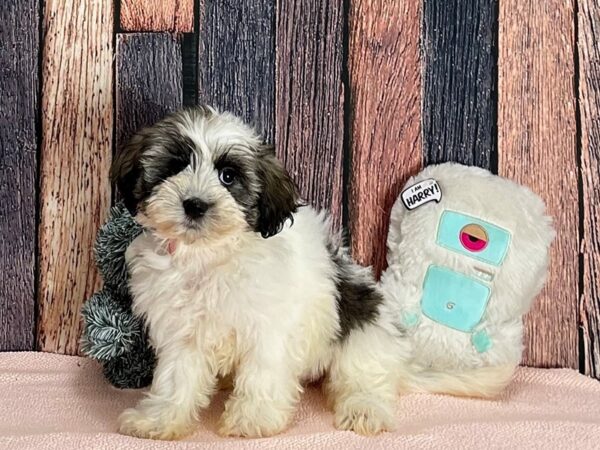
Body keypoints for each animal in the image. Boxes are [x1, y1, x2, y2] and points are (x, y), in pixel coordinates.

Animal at [112, 106, 404, 440]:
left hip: (362, 332)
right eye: (175, 166)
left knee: (365, 375)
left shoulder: (268, 328)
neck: (208, 255)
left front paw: (252, 419)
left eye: (228, 176)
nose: (195, 204)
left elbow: (262, 372)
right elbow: (175, 376)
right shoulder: (180, 330)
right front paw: (159, 419)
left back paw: (364, 408)